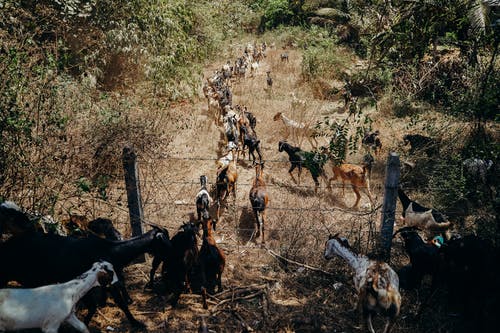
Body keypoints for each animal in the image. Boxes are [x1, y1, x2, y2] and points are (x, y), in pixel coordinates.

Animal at [0, 226, 172, 326]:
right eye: (164, 241)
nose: (173, 252)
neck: (112, 250)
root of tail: (6, 245)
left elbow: (96, 305)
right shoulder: (106, 281)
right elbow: (119, 303)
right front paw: (136, 323)